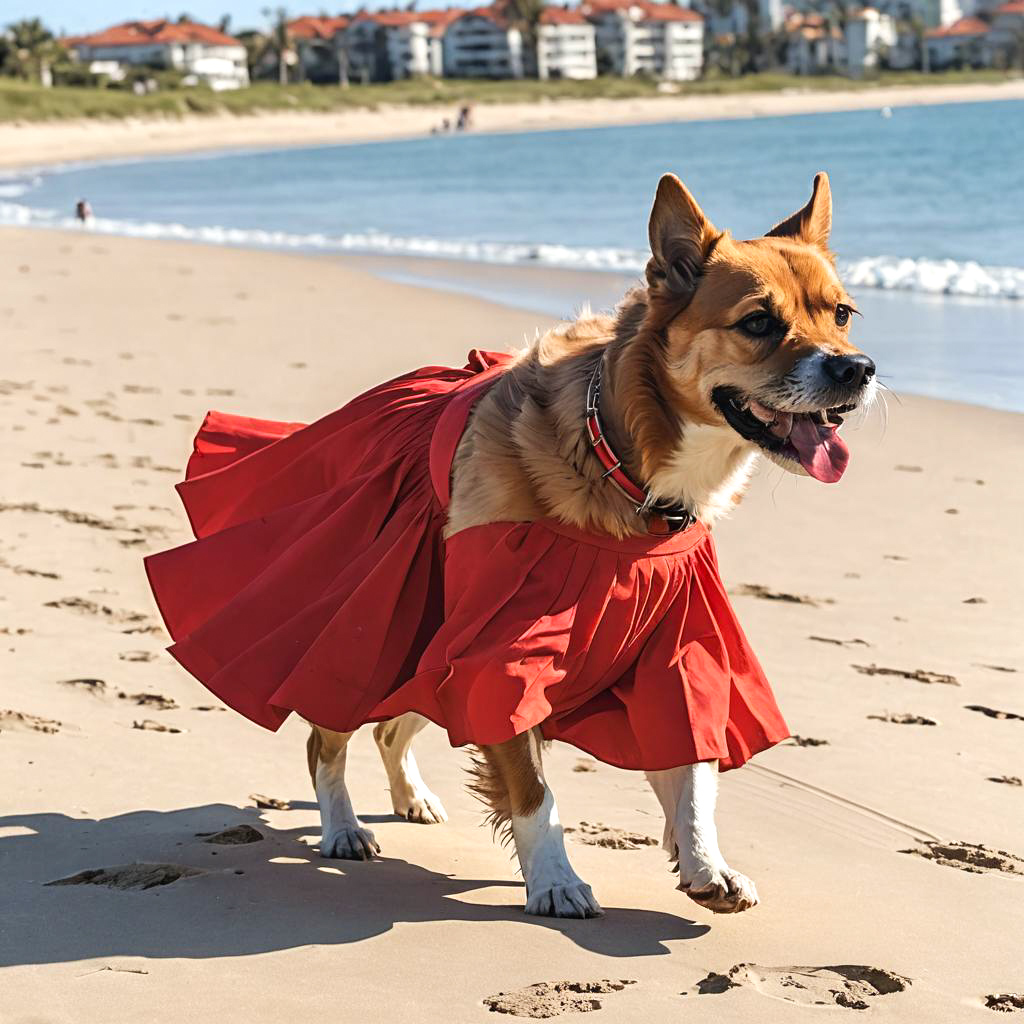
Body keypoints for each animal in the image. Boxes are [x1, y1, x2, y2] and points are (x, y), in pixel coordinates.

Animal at [299, 169, 876, 921]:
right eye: (758, 322)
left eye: (842, 314)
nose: (858, 370)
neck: (631, 471)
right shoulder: (497, 654)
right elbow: (535, 795)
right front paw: (555, 882)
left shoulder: (678, 646)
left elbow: (693, 773)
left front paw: (706, 865)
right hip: (379, 646)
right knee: (327, 739)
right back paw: (342, 827)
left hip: (421, 665)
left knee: (388, 730)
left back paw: (411, 797)